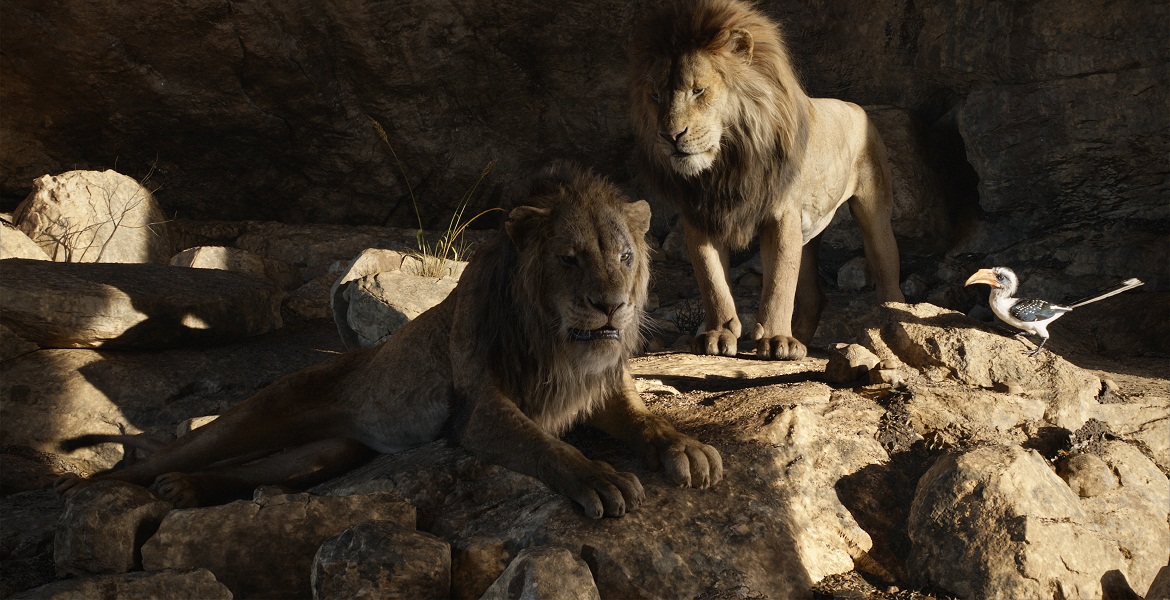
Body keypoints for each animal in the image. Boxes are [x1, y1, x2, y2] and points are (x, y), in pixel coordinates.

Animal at [56, 162, 723, 519]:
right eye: (569, 258)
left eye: (625, 257)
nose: (610, 304)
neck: (560, 340)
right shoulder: (478, 410)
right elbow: (544, 447)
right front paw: (598, 478)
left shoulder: (599, 386)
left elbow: (647, 421)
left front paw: (688, 449)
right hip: (260, 411)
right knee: (178, 453)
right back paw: (93, 487)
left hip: (328, 451)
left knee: (257, 472)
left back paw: (187, 491)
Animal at [629, 0, 905, 360]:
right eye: (656, 96)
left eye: (698, 90)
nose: (670, 136)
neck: (727, 164)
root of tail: (857, 107)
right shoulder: (700, 215)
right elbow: (712, 280)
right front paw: (718, 334)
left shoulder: (782, 215)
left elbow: (778, 283)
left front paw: (777, 341)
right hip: (809, 231)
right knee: (814, 295)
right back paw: (802, 339)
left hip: (875, 216)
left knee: (888, 280)